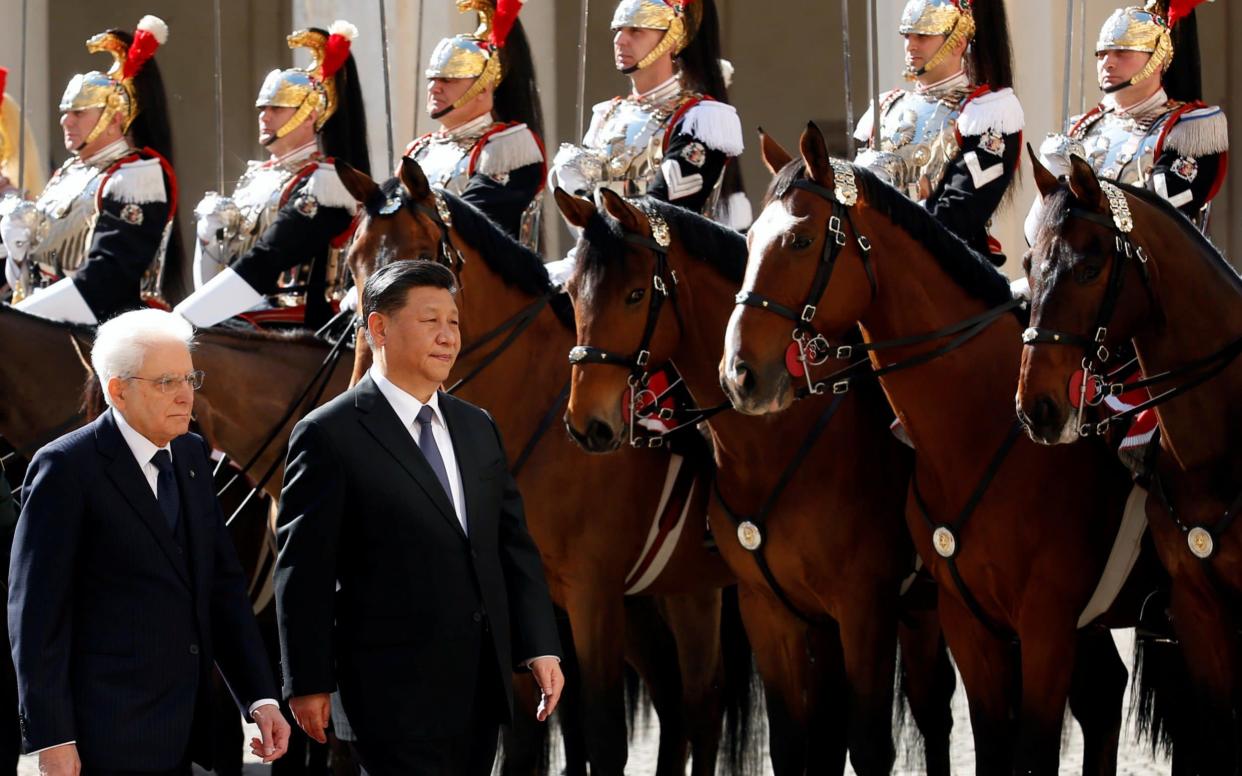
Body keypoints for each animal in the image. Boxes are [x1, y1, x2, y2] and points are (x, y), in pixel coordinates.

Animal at [332, 158, 745, 774]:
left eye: (425, 253)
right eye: (354, 263)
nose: (367, 373)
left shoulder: (592, 595)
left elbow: (601, 734)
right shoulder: (530, 601)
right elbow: (524, 735)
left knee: (701, 702)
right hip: (672, 591)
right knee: (682, 702)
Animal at [558, 187, 953, 774]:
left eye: (634, 295)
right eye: (571, 293)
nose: (587, 423)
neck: (776, 442)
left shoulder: (865, 607)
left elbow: (868, 745)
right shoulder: (766, 609)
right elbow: (792, 742)